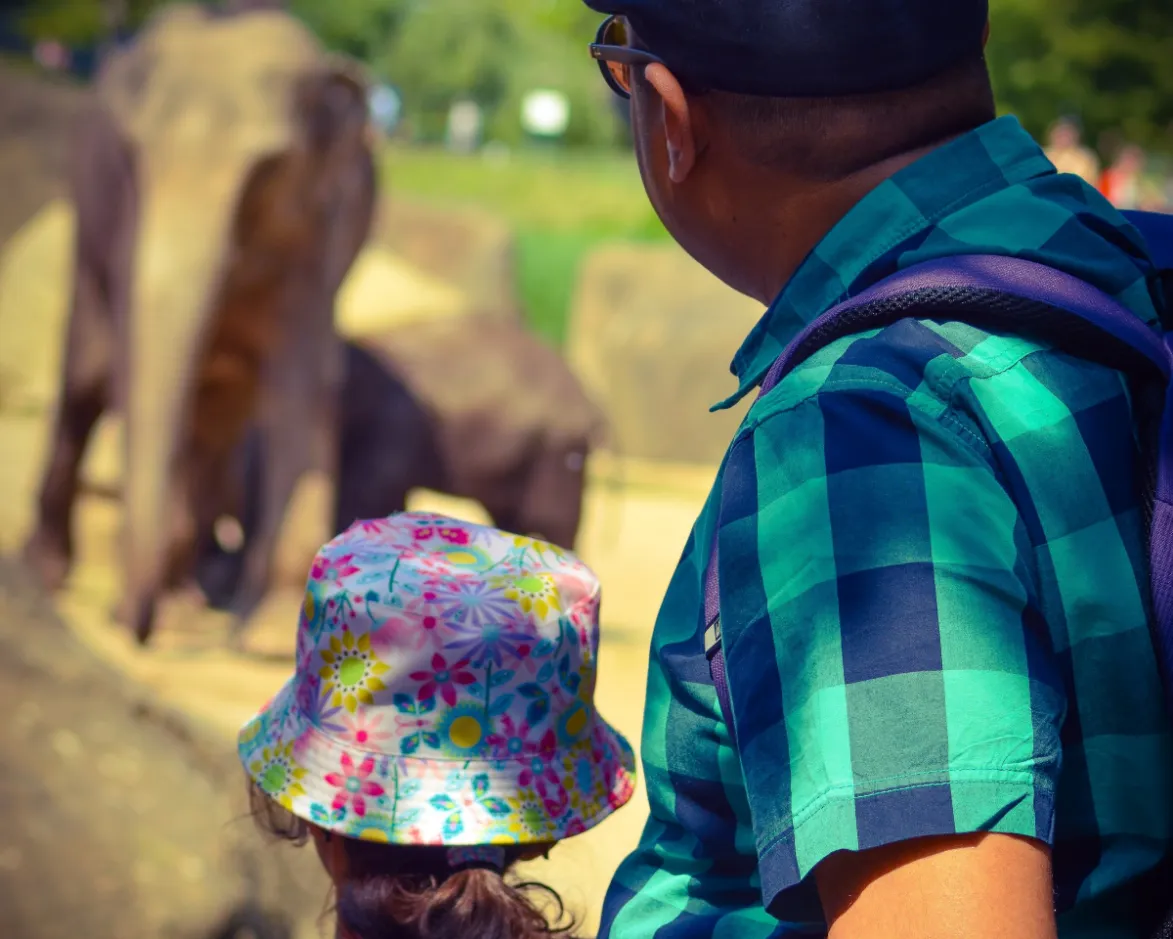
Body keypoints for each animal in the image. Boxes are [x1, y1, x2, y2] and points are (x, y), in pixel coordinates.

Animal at [20, 3, 376, 645]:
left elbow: (302, 385)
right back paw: (51, 575)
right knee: (87, 380)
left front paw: (265, 636)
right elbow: (134, 368)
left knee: (219, 418)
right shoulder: (127, 215)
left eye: (268, 167)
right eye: (131, 155)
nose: (130, 625)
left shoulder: (322, 230)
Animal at [197, 316, 608, 612]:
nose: (217, 599)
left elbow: (366, 496)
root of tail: (590, 401)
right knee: (511, 518)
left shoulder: (393, 428)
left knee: (553, 521)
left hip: (557, 449)